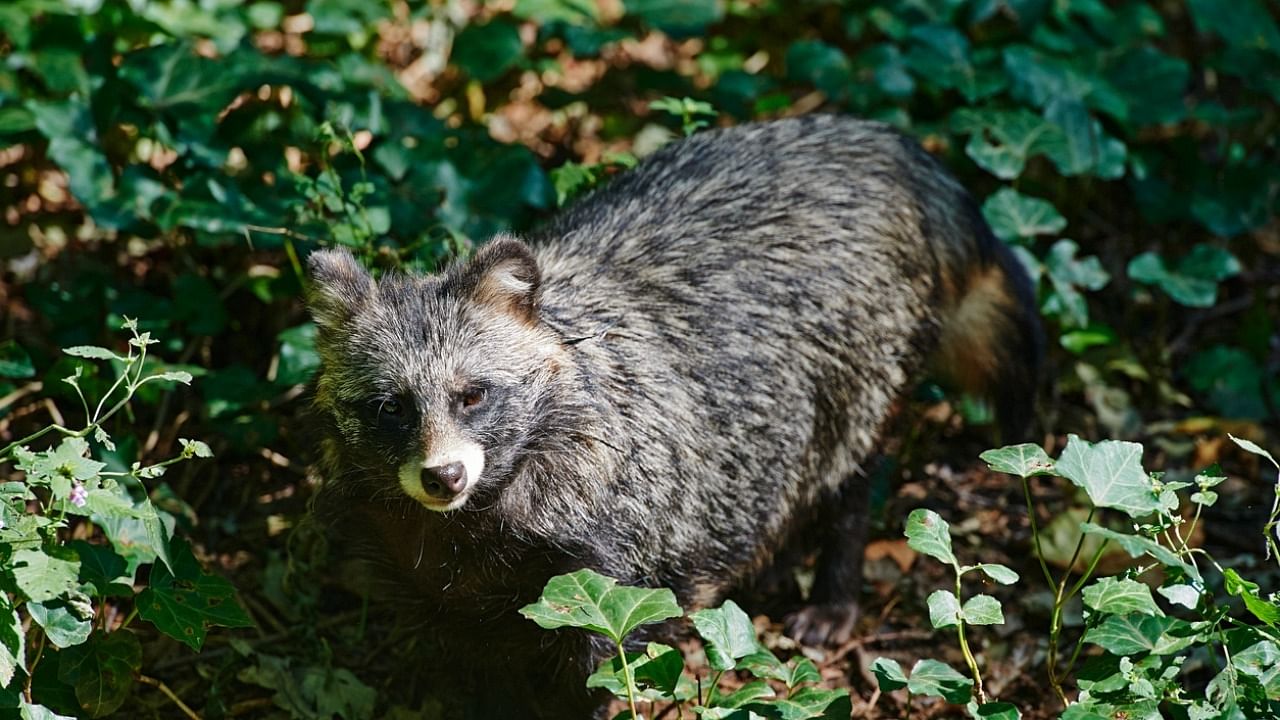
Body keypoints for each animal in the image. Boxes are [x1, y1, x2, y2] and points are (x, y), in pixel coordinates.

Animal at [309, 114, 1039, 712]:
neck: (476, 522)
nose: (444, 477)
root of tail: (888, 144)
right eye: (392, 408)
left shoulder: (618, 559)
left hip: (866, 361)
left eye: (473, 395)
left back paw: (834, 585)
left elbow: (606, 666)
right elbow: (473, 667)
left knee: (851, 475)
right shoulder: (431, 579)